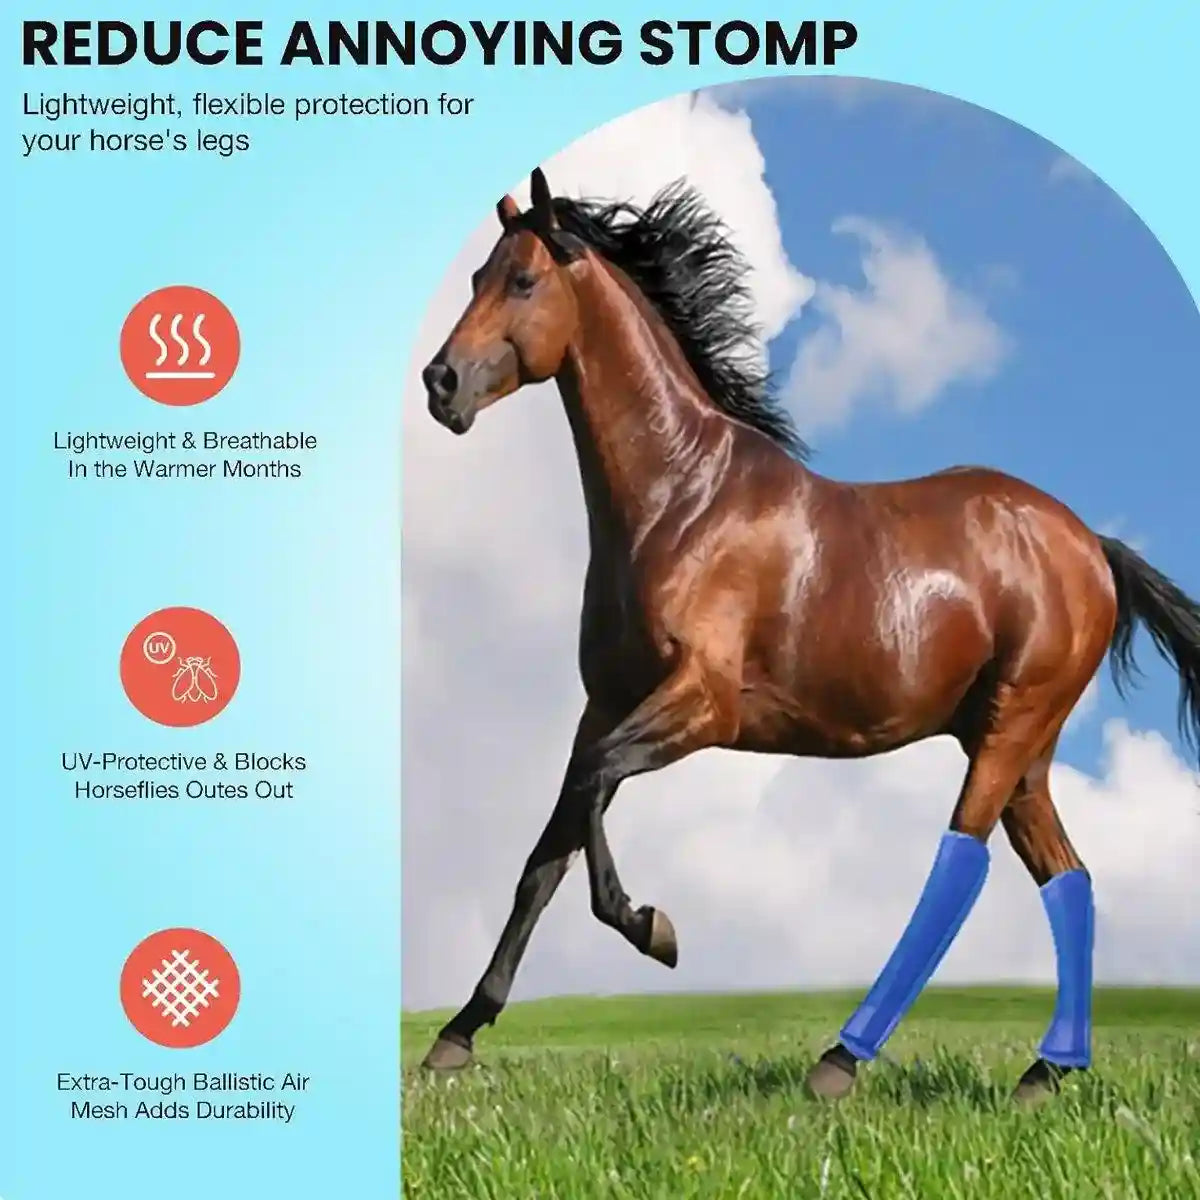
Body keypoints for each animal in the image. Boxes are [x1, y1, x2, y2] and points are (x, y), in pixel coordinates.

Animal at [416, 167, 1200, 1103]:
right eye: (476, 278)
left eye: (524, 281)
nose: (440, 382)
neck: (681, 499)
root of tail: (1091, 547)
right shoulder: (602, 704)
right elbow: (548, 849)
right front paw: (457, 1036)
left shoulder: (701, 705)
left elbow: (595, 795)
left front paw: (654, 928)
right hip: (1021, 749)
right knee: (1068, 876)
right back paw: (1044, 1072)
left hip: (1011, 729)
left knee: (960, 869)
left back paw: (841, 1060)